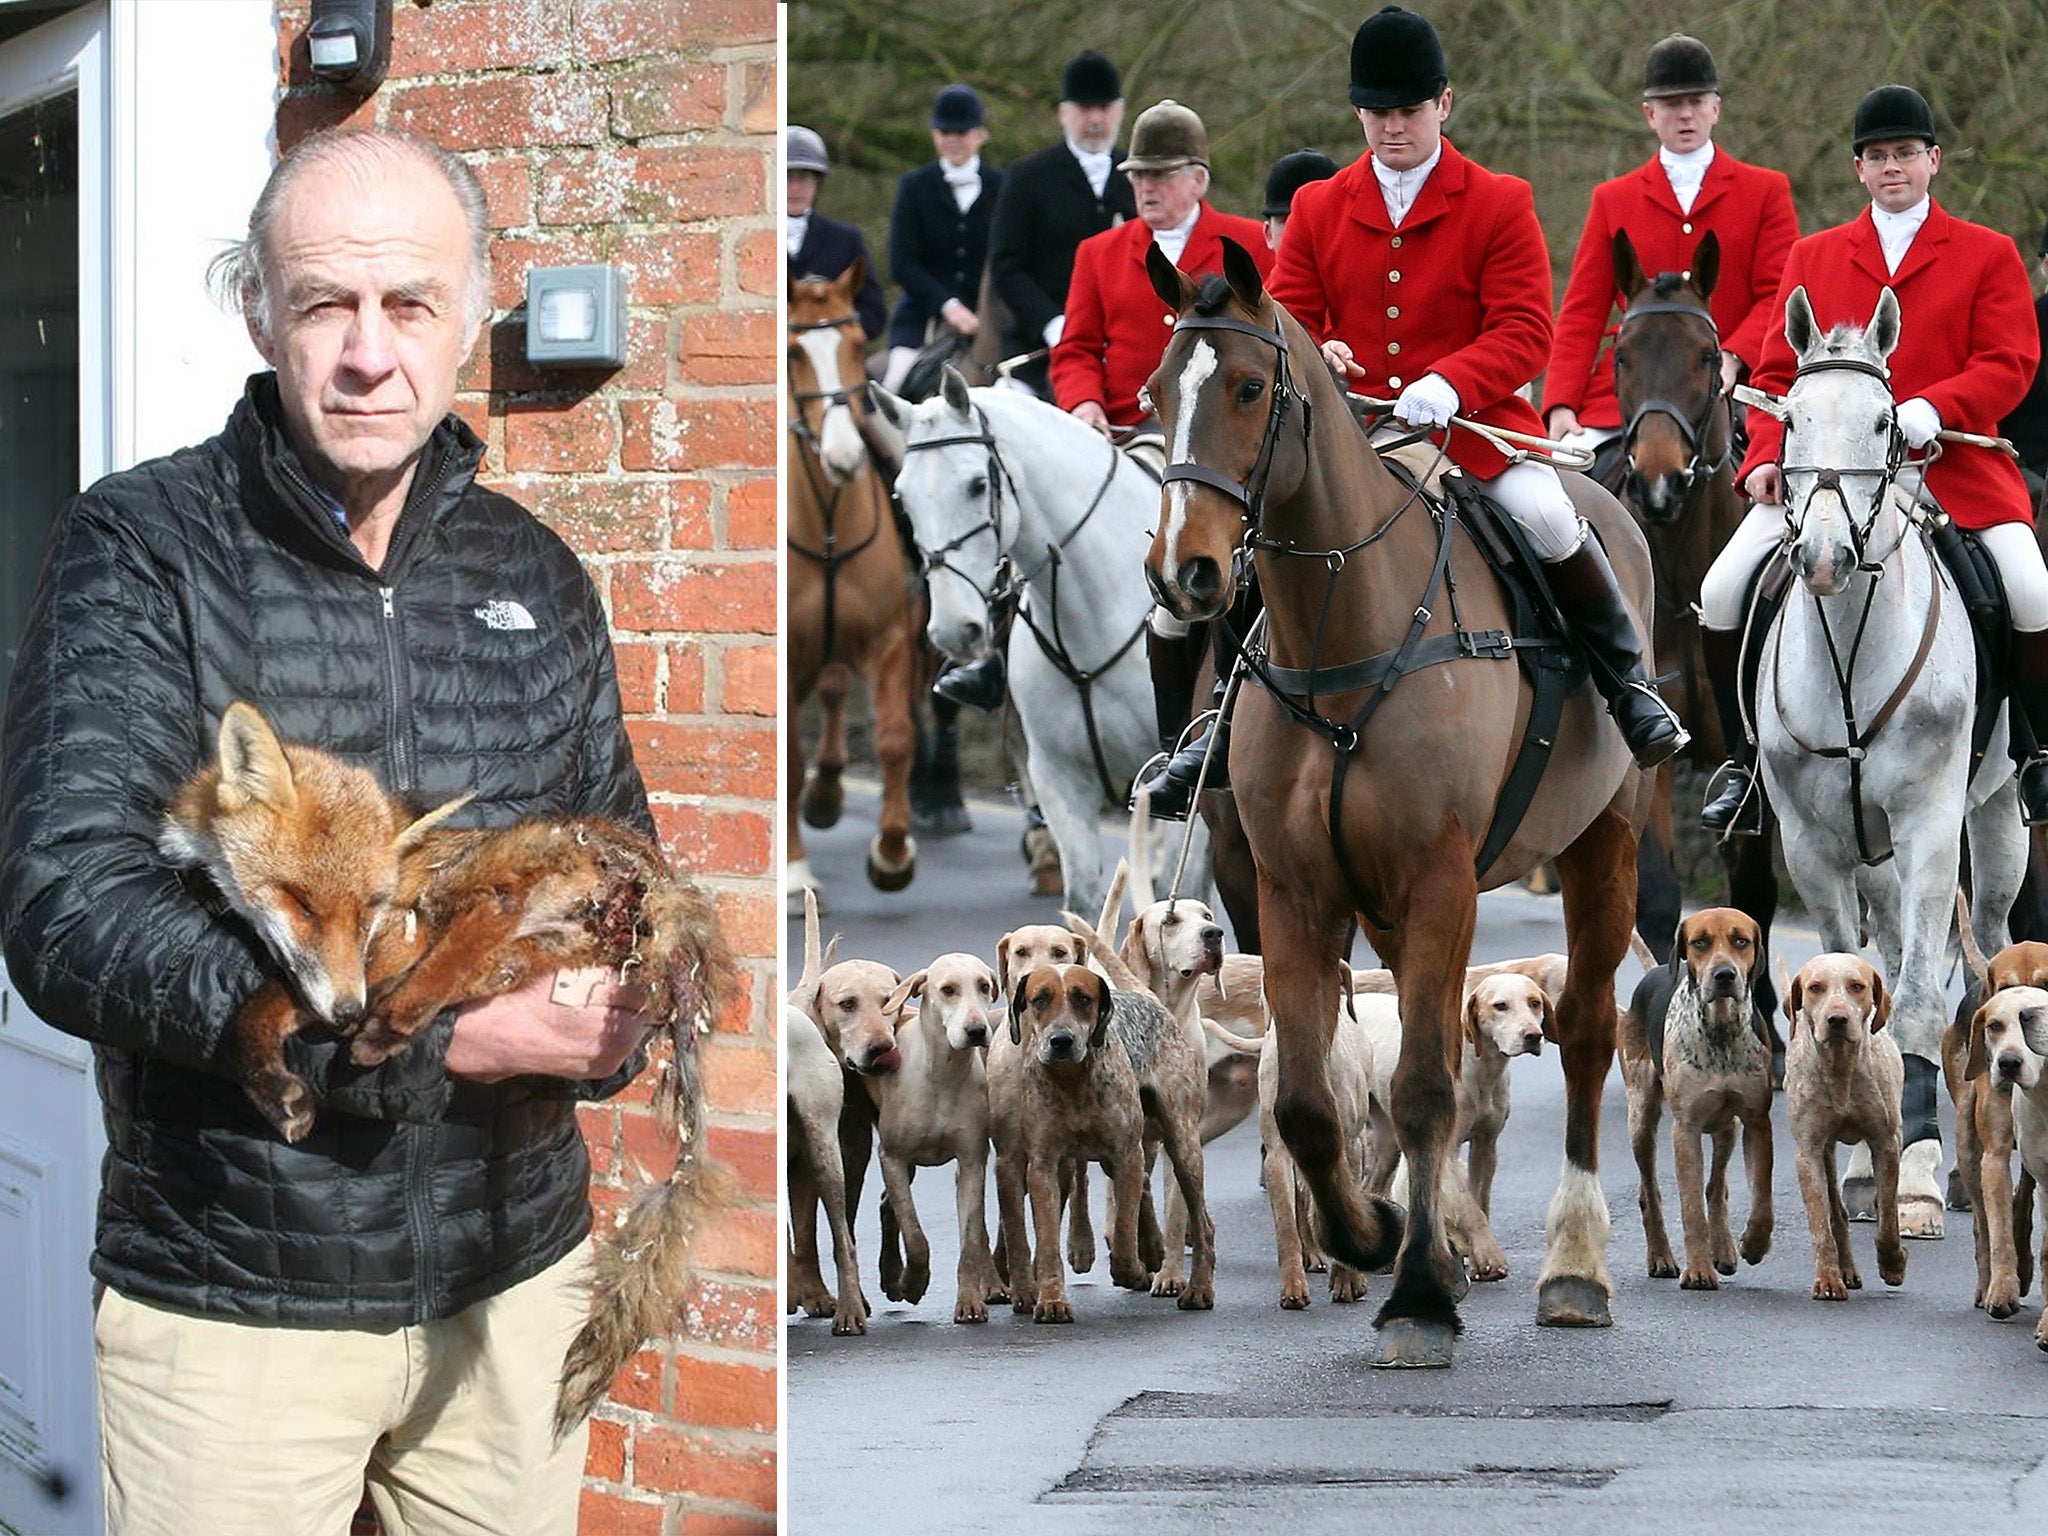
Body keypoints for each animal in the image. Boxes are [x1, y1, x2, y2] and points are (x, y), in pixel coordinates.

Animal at [161, 704, 737, 1441]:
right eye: (301, 902)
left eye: (367, 906)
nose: (346, 1013)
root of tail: (664, 881)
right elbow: (279, 998)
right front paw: (286, 1073)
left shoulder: (386, 941)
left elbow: (264, 1002)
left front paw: (288, 1073)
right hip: (542, 941)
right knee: (489, 956)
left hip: (484, 889)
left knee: (483, 924)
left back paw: (391, 1025)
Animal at [1146, 234, 1654, 1368]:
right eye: (1157, 392)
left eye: (1249, 389)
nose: (1183, 571)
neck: (1345, 634)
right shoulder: (1295, 892)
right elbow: (1306, 1100)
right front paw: (1371, 1233)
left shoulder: (1439, 882)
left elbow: (1423, 1089)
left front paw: (1418, 1292)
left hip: (1602, 847)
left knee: (1586, 1032)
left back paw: (1574, 1265)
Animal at [1744, 282, 2015, 1236]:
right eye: (1789, 419)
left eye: (1885, 422)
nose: (1824, 558)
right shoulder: (1813, 846)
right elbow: (1851, 983)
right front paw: (1866, 1166)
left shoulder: (1931, 824)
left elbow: (1924, 999)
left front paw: (1921, 1182)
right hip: (1874, 858)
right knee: (1892, 953)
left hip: (1995, 826)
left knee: (1990, 957)